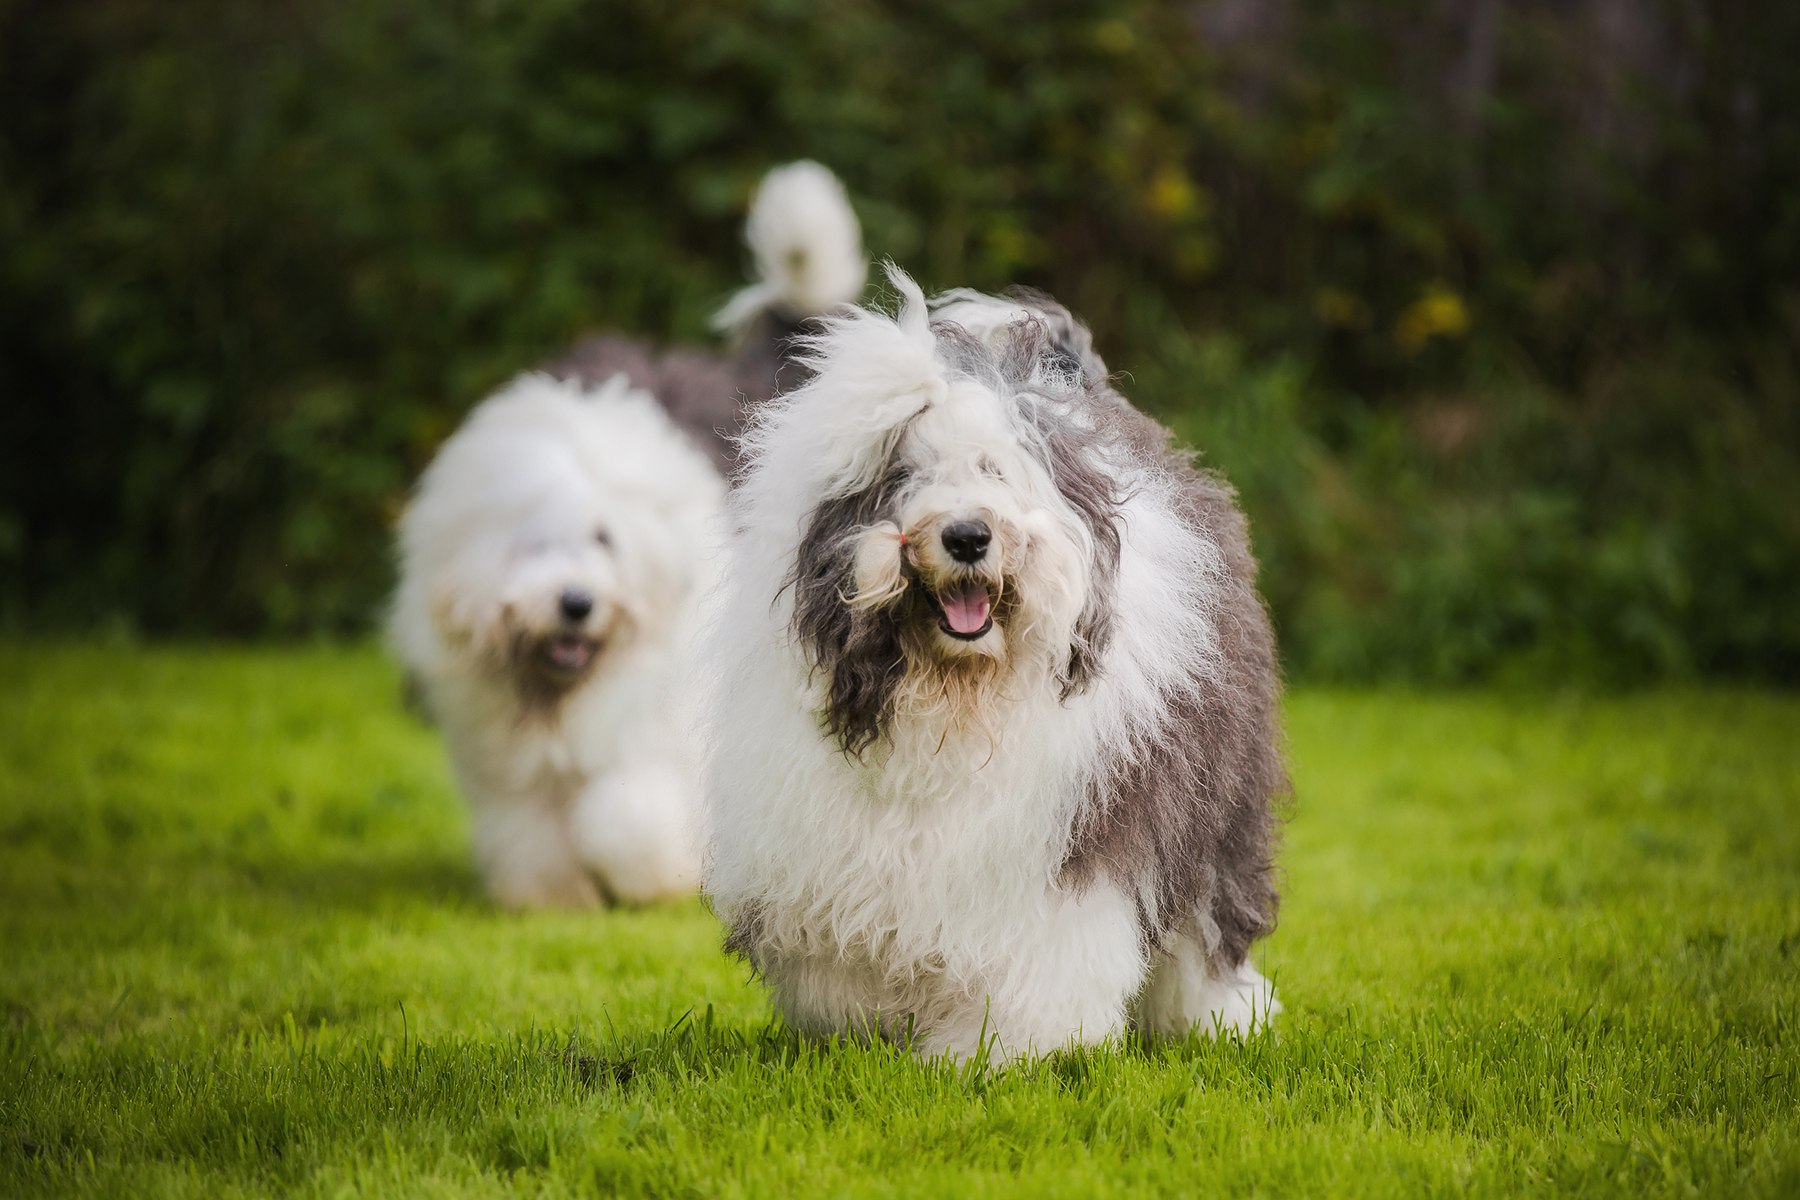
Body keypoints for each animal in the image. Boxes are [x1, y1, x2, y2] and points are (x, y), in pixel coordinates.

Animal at [392, 161, 864, 910]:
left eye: (605, 540)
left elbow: (625, 814)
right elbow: (530, 829)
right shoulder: (507, 758)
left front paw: (651, 877)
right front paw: (552, 898)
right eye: (534, 545)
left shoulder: (659, 714)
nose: (576, 604)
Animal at [705, 269, 1296, 1057]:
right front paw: (870, 1028)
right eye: (907, 475)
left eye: (996, 470)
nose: (966, 536)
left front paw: (994, 1051)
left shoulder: (1068, 838)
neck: (957, 696)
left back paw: (1218, 1018)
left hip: (1217, 801)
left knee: (1207, 917)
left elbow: (1040, 959)